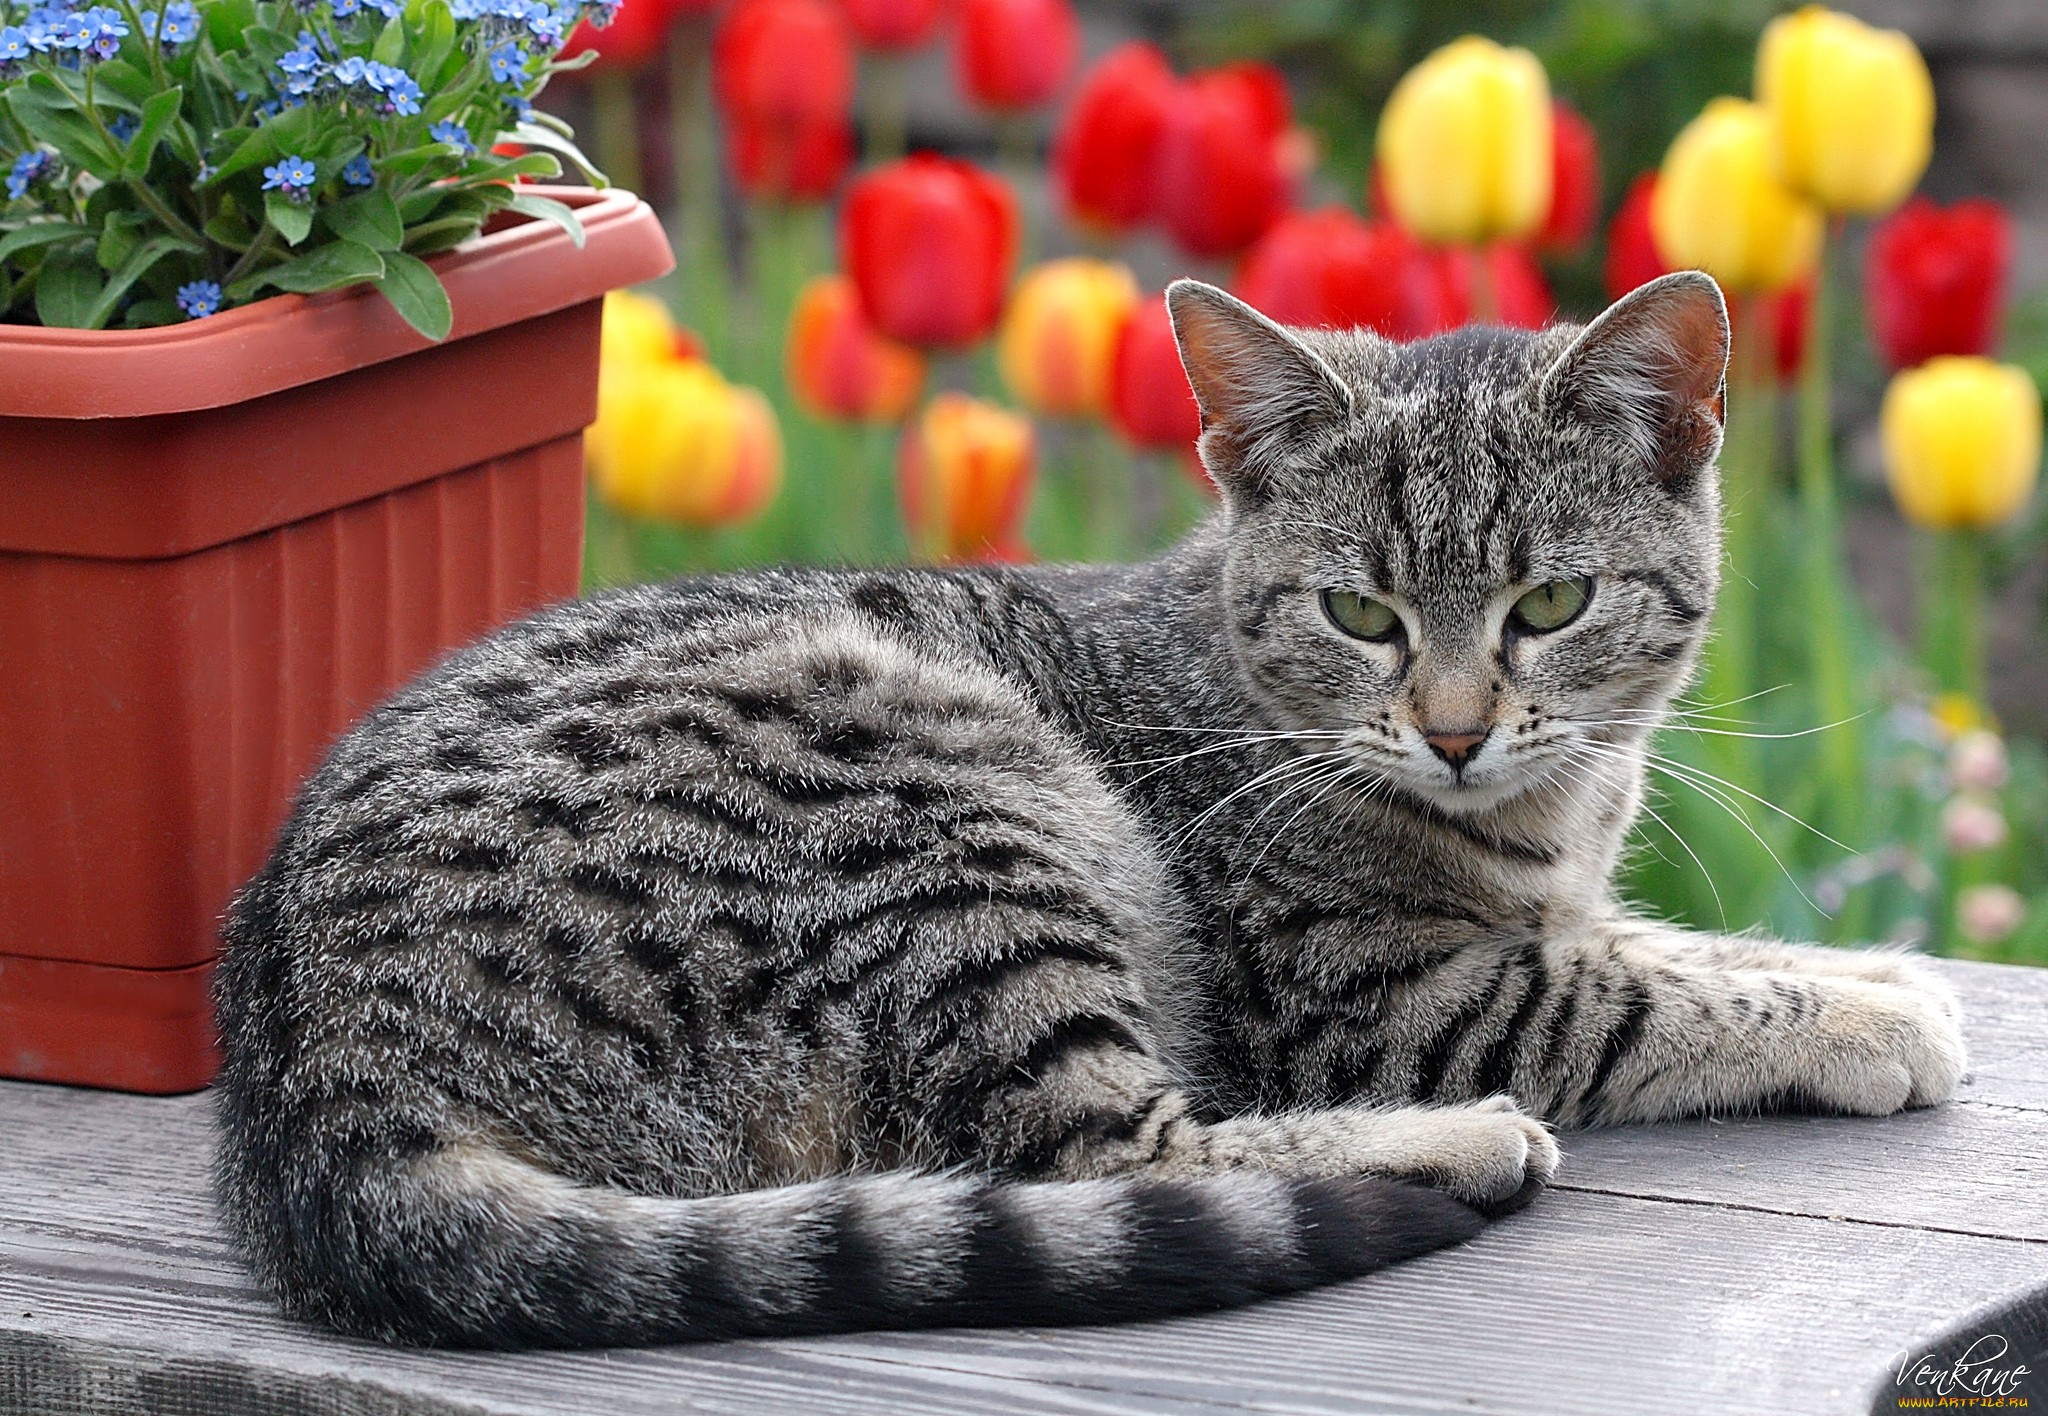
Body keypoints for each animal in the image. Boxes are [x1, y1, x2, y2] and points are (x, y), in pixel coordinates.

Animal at [216, 274, 1957, 1352]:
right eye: (1361, 615)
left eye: (1553, 601)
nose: (1456, 731)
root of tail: (318, 1084)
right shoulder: (1373, 996)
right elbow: (1627, 992)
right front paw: (1867, 1017)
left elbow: (1657, 942)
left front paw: (1862, 971)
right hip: (950, 817)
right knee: (1106, 1155)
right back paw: (1448, 1147)